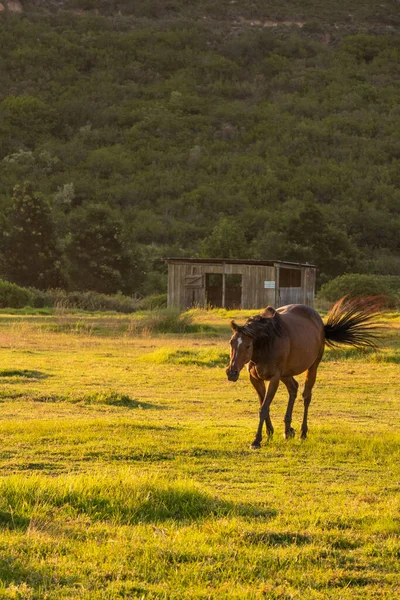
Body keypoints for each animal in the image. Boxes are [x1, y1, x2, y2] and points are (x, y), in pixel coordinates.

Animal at [227, 298, 380, 448]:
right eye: (231, 343)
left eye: (248, 346)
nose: (232, 373)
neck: (265, 344)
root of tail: (321, 324)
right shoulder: (255, 378)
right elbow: (264, 406)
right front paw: (269, 432)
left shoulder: (274, 378)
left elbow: (264, 408)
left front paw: (257, 440)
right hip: (286, 374)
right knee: (293, 388)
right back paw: (288, 430)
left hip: (312, 368)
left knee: (306, 396)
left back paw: (303, 432)